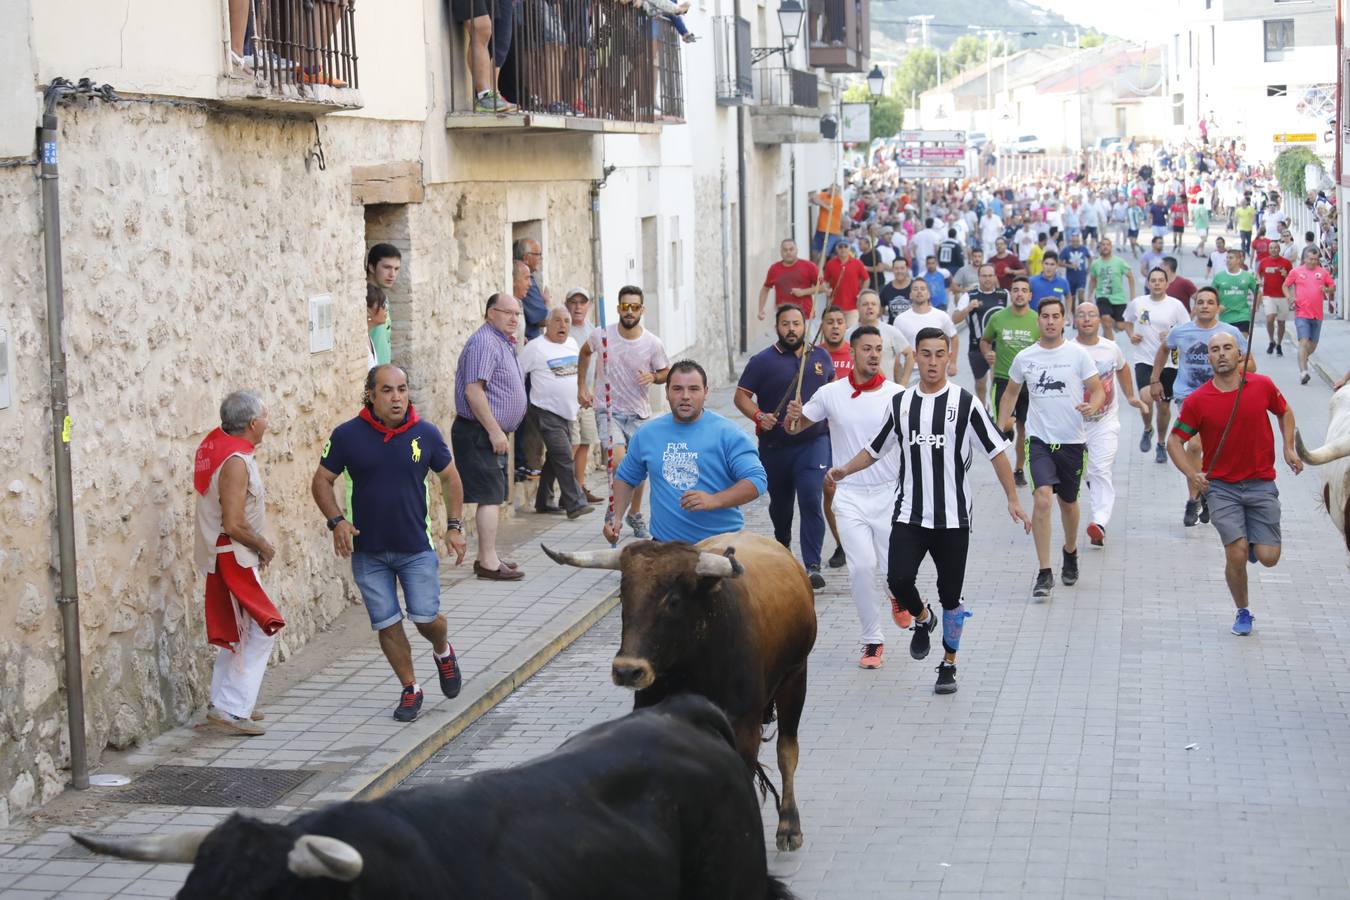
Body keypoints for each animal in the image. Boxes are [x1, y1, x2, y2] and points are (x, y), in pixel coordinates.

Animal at [542, 531, 815, 858]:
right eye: (623, 596)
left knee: (787, 750)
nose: (627, 670)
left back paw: (789, 826)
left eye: (672, 600)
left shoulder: (745, 726)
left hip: (795, 679)